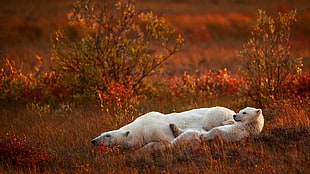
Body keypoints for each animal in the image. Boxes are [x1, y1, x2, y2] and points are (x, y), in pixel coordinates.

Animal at [91, 106, 236, 149]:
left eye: (108, 135)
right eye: (102, 133)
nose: (93, 141)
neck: (141, 128)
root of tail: (232, 112)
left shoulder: (157, 129)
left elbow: (166, 141)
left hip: (215, 115)